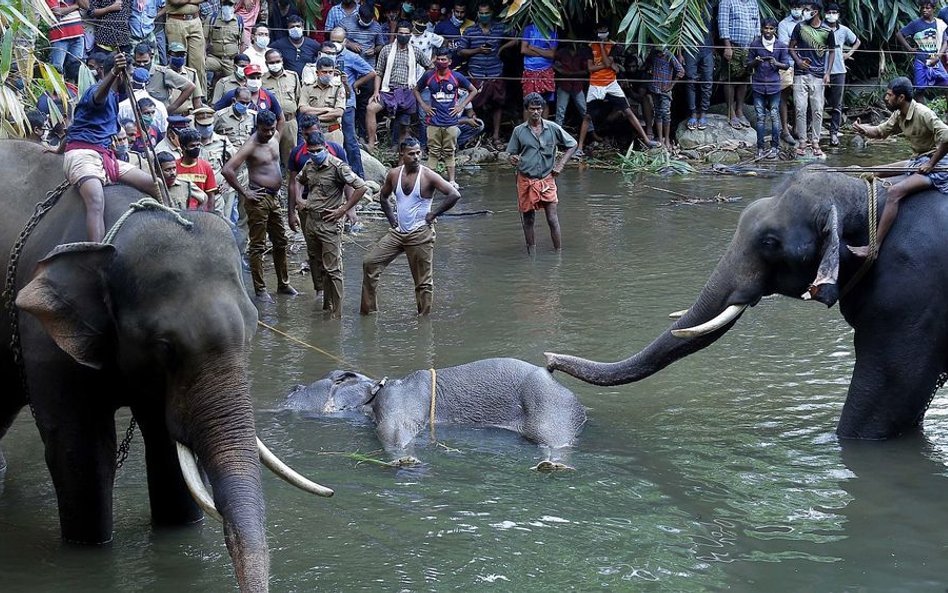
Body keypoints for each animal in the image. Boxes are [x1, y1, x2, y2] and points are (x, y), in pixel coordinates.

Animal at [0, 141, 330, 588]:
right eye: (165, 347)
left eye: (252, 330)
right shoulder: (43, 337)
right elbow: (82, 451)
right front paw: (90, 549)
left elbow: (166, 446)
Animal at [282, 356, 584, 468]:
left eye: (297, 389)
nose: (291, 388)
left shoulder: (396, 403)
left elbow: (394, 432)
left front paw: (406, 461)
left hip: (549, 409)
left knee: (554, 441)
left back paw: (551, 465)